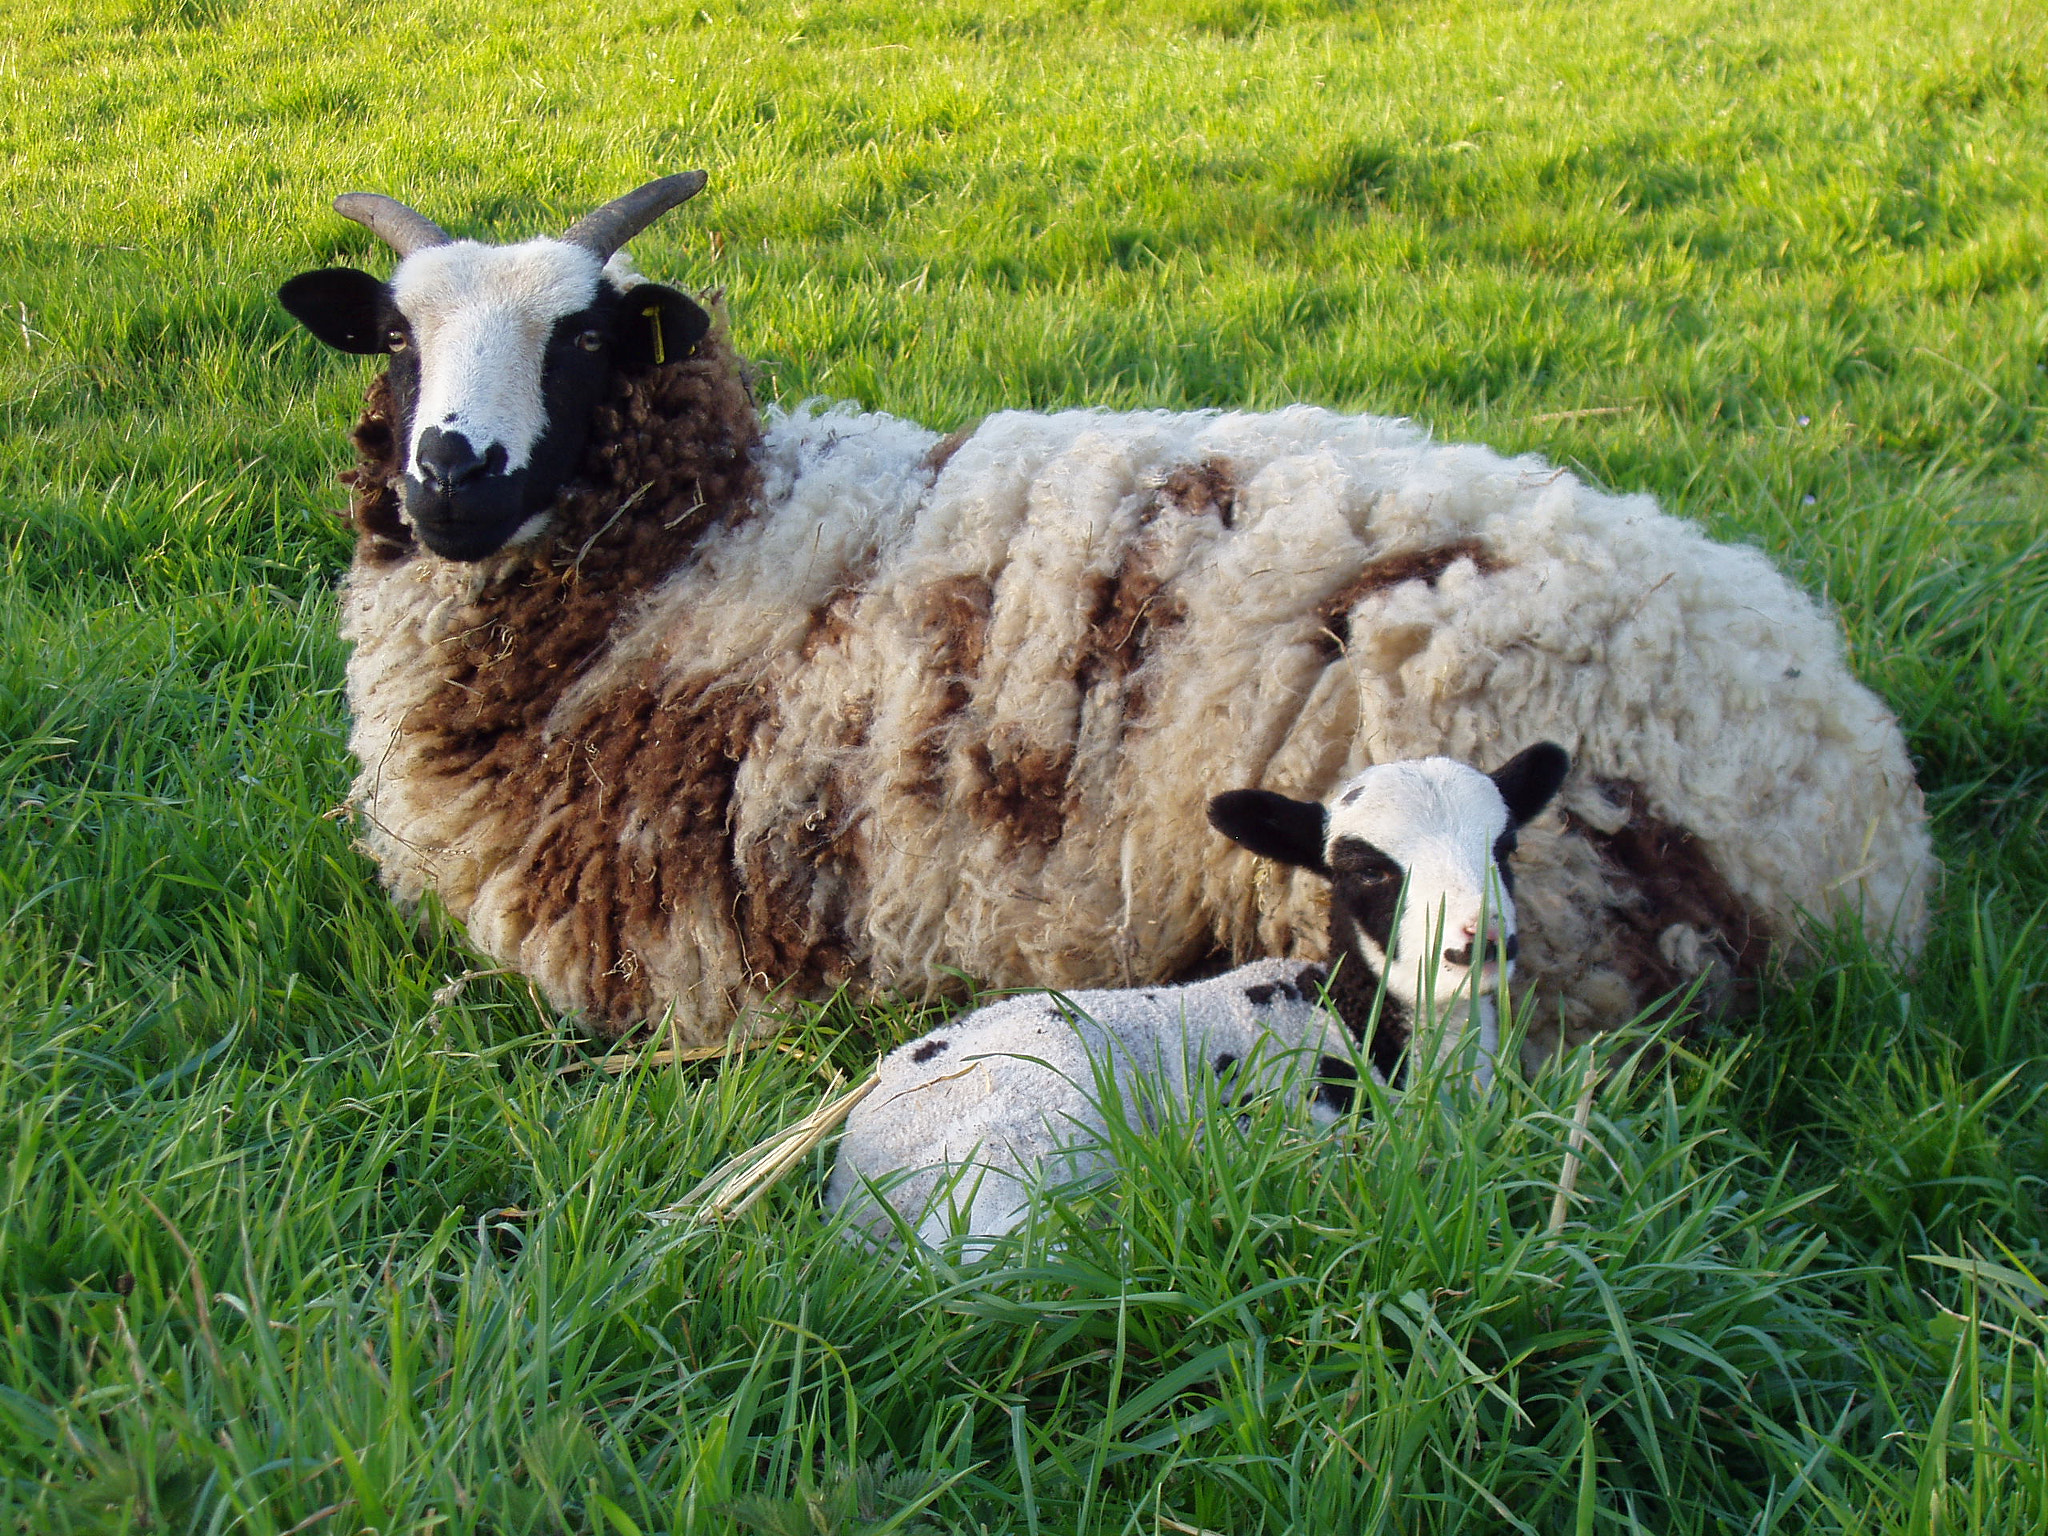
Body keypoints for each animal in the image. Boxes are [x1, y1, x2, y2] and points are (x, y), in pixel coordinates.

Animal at [276, 175, 1937, 1065]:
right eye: (400, 342)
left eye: (585, 342)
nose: (450, 481)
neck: (697, 543)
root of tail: (1847, 791)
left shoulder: (677, 960)